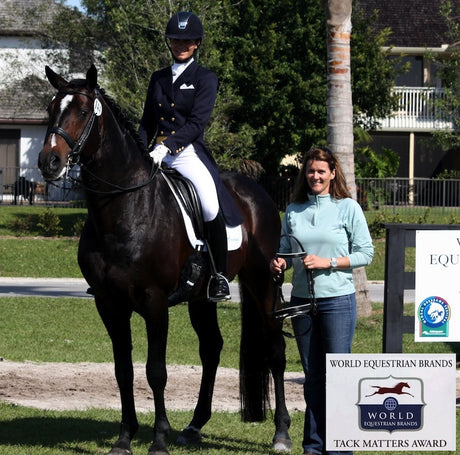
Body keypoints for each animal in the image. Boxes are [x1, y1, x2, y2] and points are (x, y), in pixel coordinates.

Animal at [39, 65, 292, 455]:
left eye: (82, 111)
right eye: (52, 108)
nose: (48, 161)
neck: (123, 208)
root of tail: (259, 193)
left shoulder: (154, 301)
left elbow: (156, 370)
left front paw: (158, 439)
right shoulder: (108, 303)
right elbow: (123, 370)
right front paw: (125, 437)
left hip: (263, 282)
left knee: (275, 348)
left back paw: (281, 433)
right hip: (203, 296)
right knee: (211, 348)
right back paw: (194, 426)